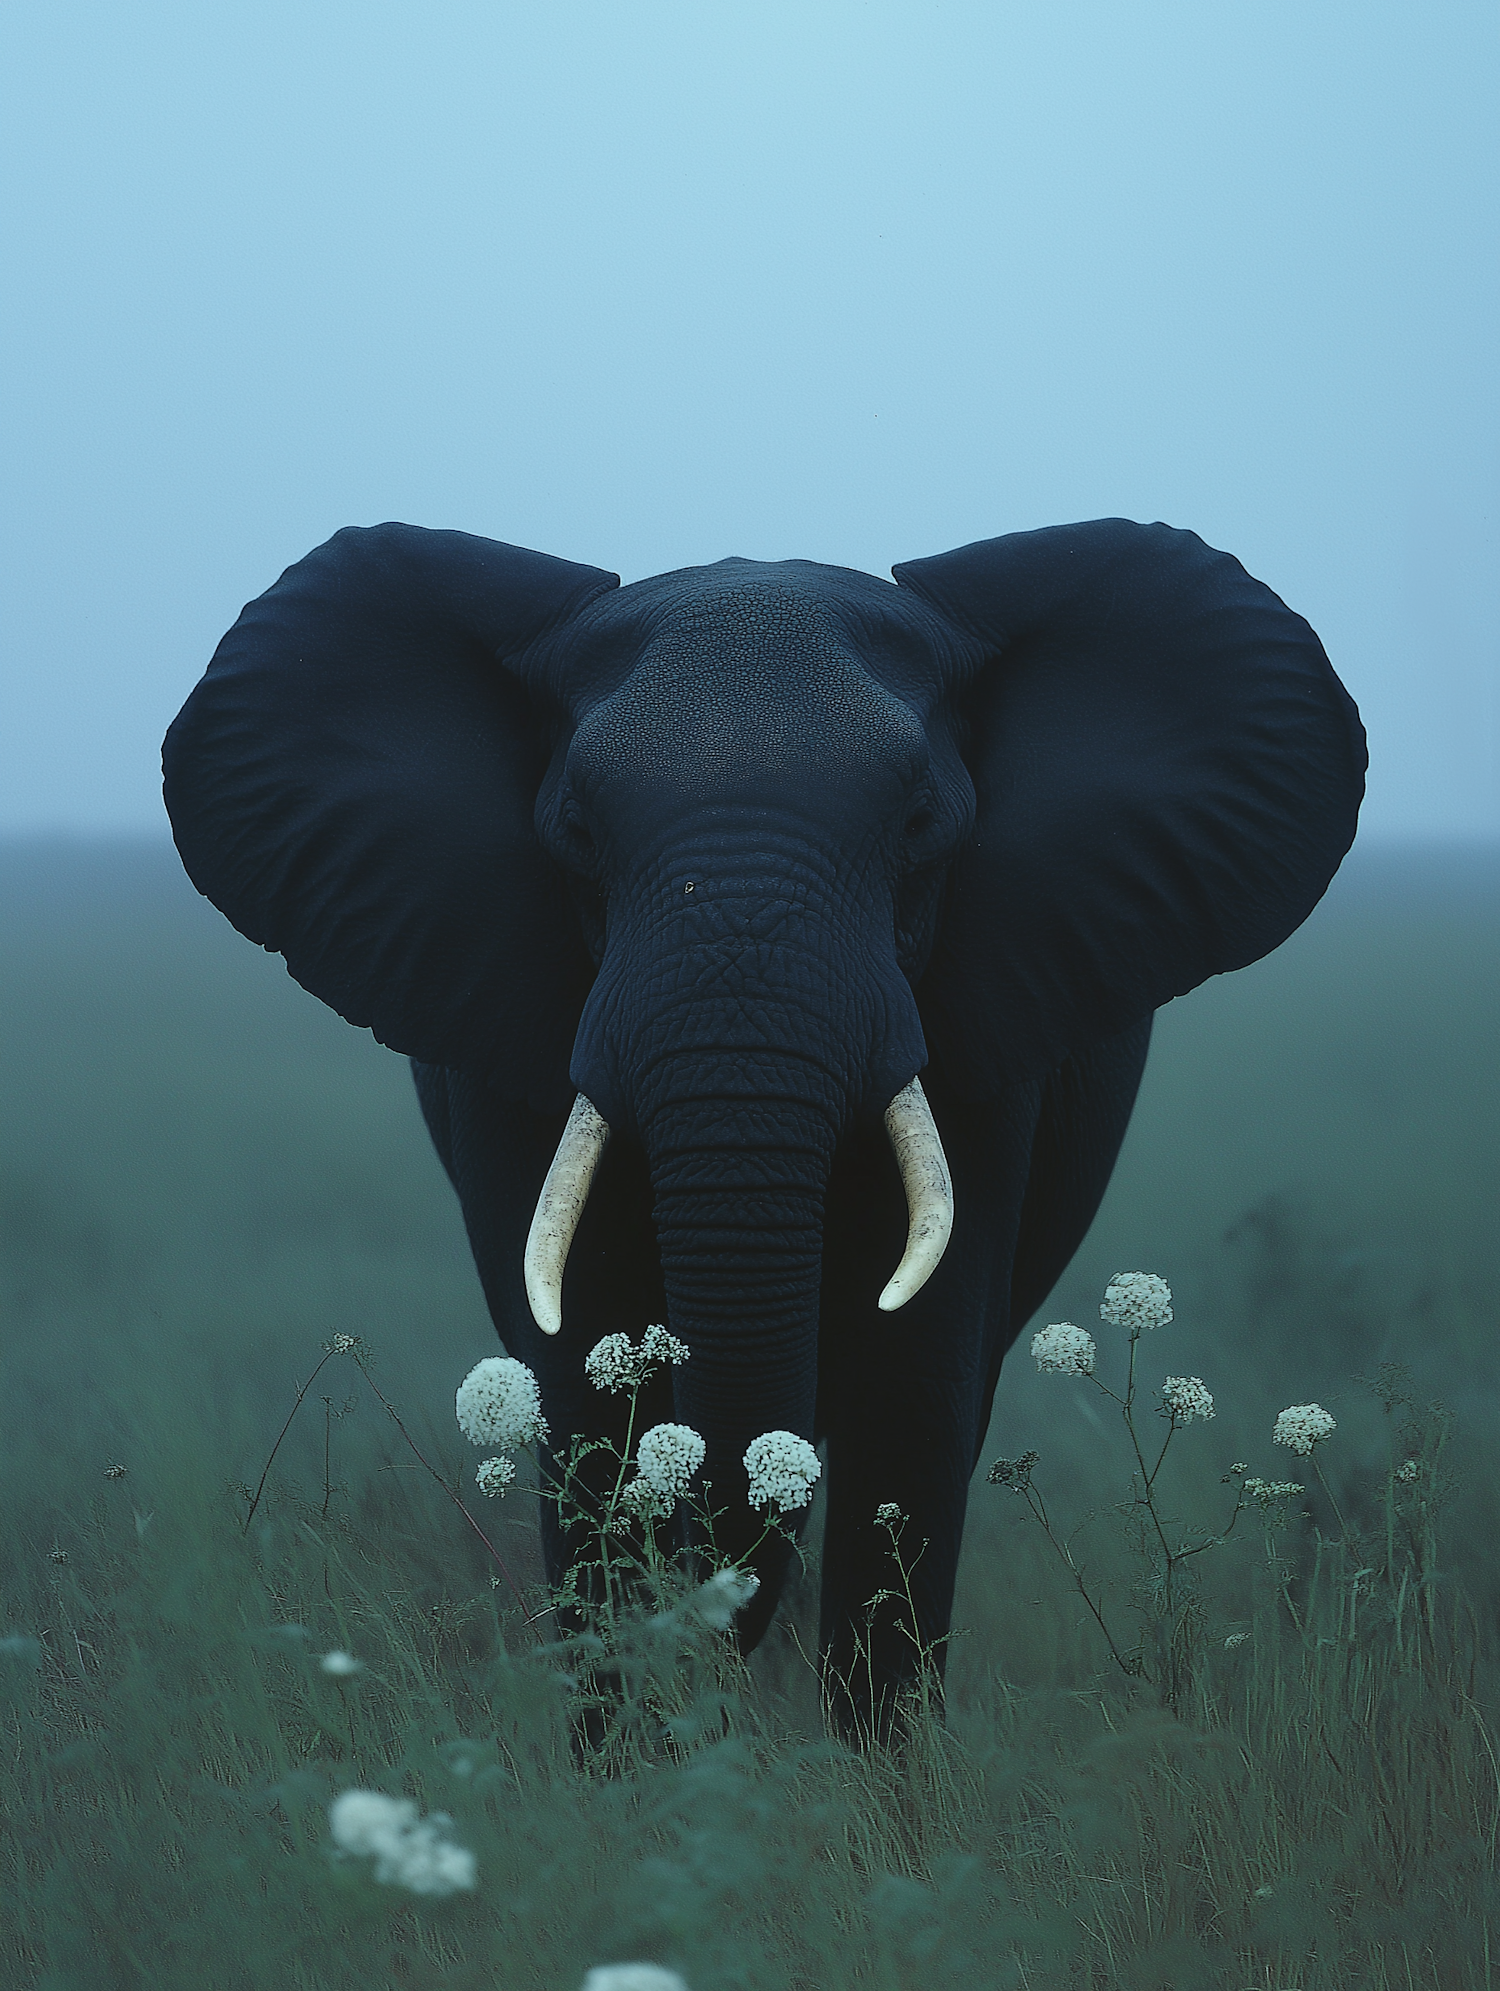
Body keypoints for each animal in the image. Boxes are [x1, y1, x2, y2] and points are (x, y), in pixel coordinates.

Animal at [161, 513, 1354, 1728]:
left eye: (921, 825)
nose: (710, 1639)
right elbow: (580, 1397)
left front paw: (880, 1772)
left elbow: (914, 1403)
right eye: (576, 830)